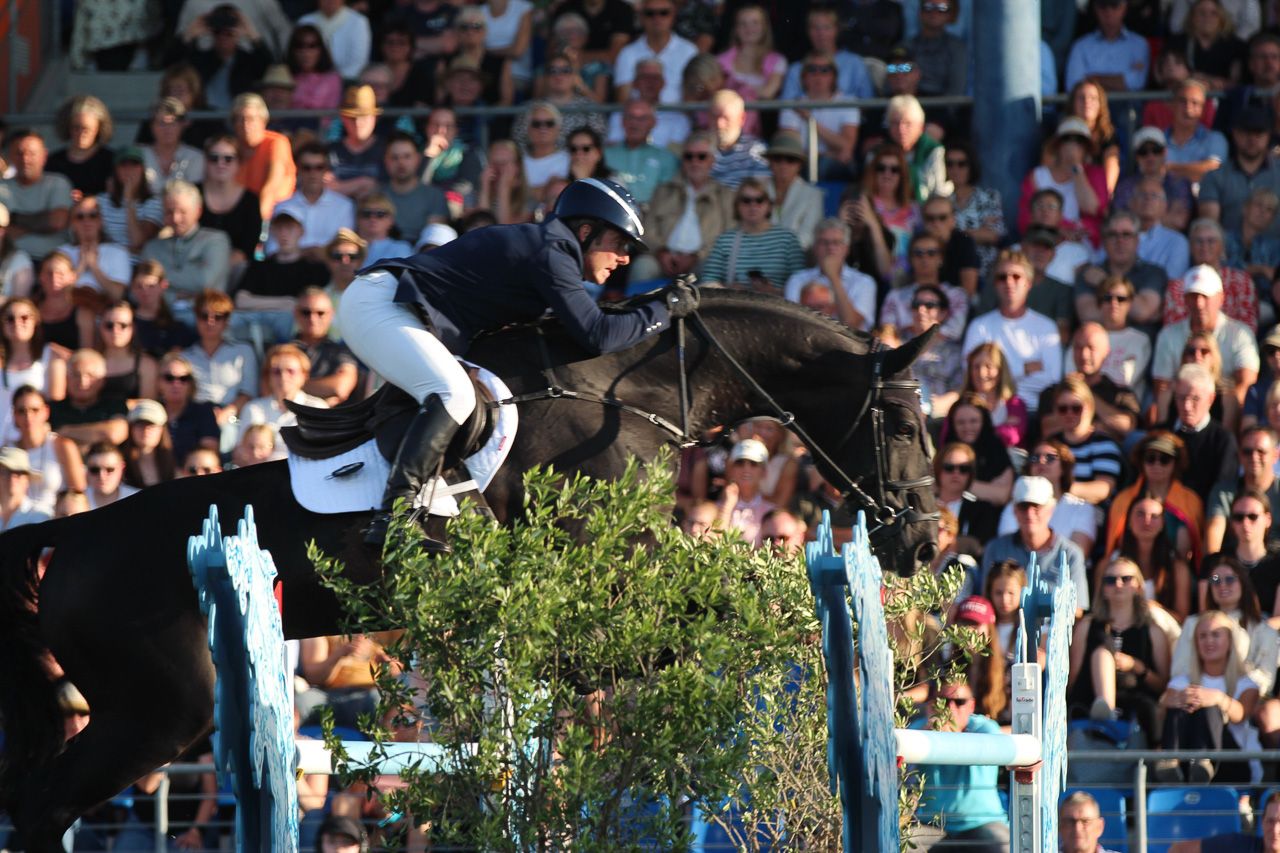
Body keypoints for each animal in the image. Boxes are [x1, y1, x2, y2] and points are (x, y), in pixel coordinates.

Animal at [0, 288, 938, 851]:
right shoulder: (615, 563)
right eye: (898, 422)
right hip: (162, 707)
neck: (627, 394)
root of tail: (70, 530)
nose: (924, 543)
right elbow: (726, 601)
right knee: (45, 802)